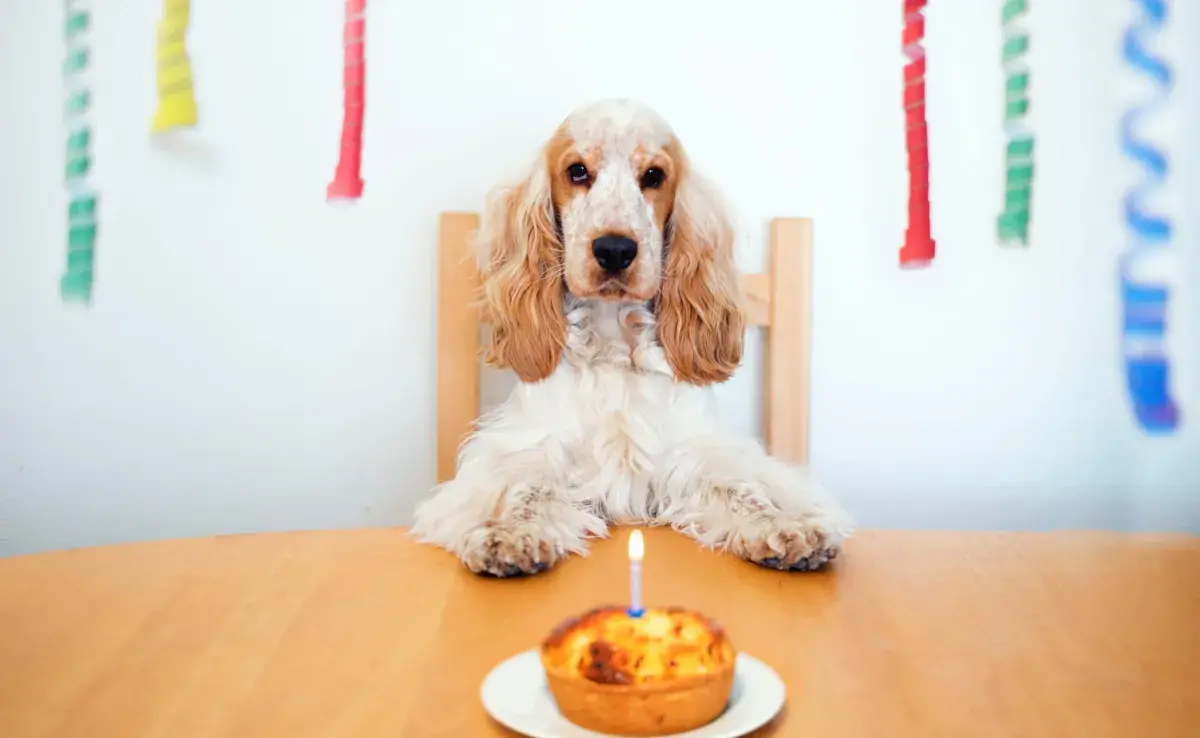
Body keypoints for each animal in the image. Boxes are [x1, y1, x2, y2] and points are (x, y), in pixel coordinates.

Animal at [412, 98, 854, 578]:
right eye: (577, 171)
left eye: (654, 176)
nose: (614, 249)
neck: (613, 343)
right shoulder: (526, 447)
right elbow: (525, 487)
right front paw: (509, 535)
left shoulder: (695, 450)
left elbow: (742, 486)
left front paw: (787, 527)